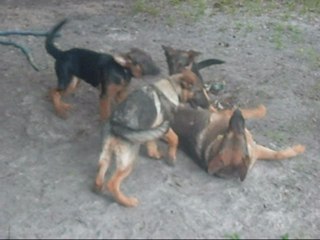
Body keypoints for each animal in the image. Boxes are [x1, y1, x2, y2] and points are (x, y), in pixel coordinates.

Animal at [95, 66, 209, 207]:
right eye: (199, 91)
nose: (209, 105)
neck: (171, 86)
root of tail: (116, 124)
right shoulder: (165, 127)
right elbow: (175, 138)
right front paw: (171, 157)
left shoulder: (151, 128)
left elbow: (151, 141)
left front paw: (154, 153)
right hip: (129, 160)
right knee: (112, 183)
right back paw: (127, 201)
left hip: (106, 153)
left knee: (100, 173)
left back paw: (99, 188)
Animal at [170, 104, 304, 181]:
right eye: (227, 133)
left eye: (240, 134)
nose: (237, 111)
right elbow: (251, 112)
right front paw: (261, 110)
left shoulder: (256, 150)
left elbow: (278, 154)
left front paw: (298, 149)